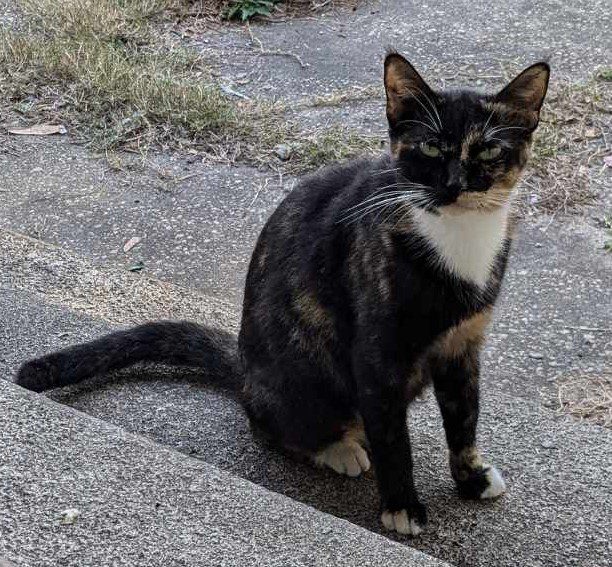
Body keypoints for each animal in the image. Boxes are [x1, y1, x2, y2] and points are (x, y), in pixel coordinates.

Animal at [14, 52, 548, 536]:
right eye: (433, 148)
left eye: (488, 152)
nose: (456, 185)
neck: (457, 241)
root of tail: (244, 371)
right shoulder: (377, 355)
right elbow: (395, 441)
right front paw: (402, 507)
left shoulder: (464, 344)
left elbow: (464, 418)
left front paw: (472, 478)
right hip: (304, 377)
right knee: (272, 426)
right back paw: (338, 447)